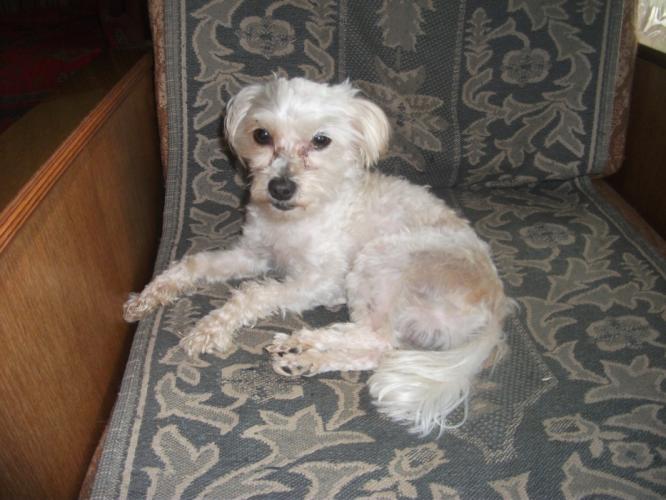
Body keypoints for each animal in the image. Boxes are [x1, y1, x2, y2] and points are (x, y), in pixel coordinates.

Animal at [124, 77, 513, 436]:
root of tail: (493, 311)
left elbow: (253, 293)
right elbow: (196, 264)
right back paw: (302, 355)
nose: (280, 187)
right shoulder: (255, 254)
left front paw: (206, 330)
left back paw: (303, 346)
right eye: (262, 135)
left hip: (382, 259)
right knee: (377, 347)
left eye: (321, 140)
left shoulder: (322, 282)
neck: (296, 217)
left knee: (377, 338)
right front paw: (149, 295)